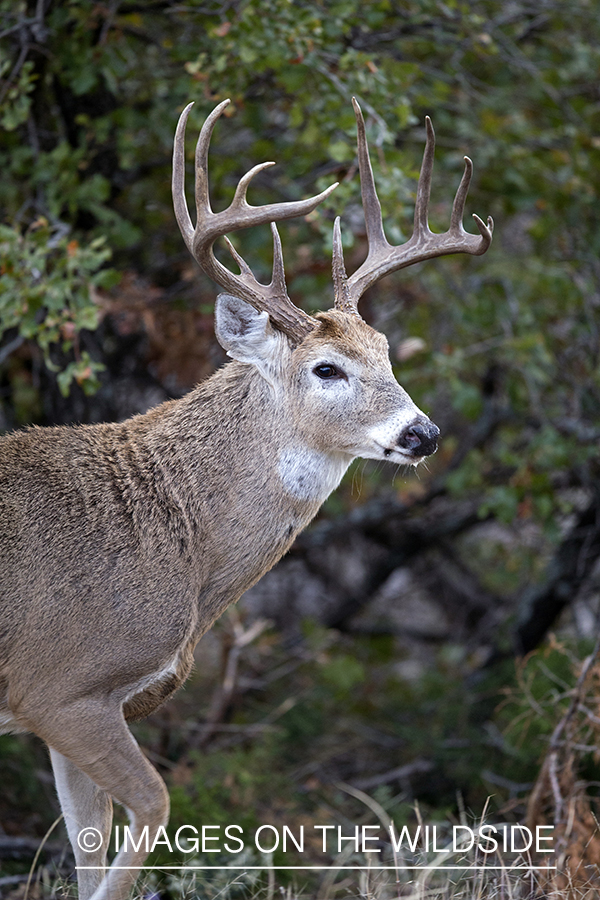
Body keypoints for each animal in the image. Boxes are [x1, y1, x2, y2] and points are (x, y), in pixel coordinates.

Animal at [0, 96, 492, 900]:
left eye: (387, 351)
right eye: (326, 368)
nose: (423, 433)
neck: (179, 545)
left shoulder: (73, 709)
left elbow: (87, 850)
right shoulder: (60, 686)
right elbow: (152, 809)